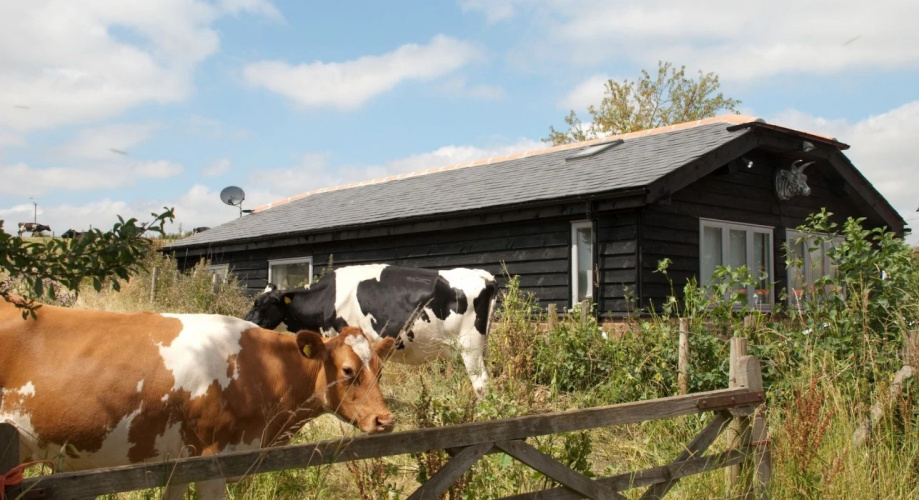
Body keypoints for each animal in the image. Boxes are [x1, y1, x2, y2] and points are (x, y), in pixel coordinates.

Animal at [244, 264, 498, 396]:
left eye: (262, 304)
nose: (246, 322)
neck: (327, 297)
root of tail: (483, 275)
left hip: (470, 346)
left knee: (481, 382)